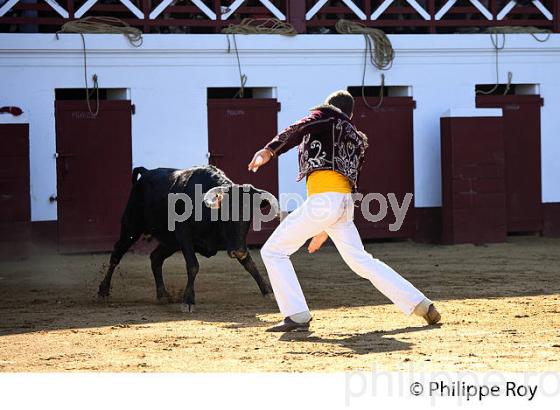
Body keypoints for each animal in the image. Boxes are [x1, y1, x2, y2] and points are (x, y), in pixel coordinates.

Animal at [99, 165, 276, 312]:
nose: (238, 252)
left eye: (250, 216)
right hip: (131, 228)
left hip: (170, 242)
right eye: (225, 213)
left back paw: (163, 295)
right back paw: (103, 290)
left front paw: (269, 292)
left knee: (155, 258)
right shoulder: (184, 237)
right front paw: (188, 301)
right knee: (116, 254)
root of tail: (146, 172)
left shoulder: (234, 242)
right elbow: (193, 266)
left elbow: (250, 264)